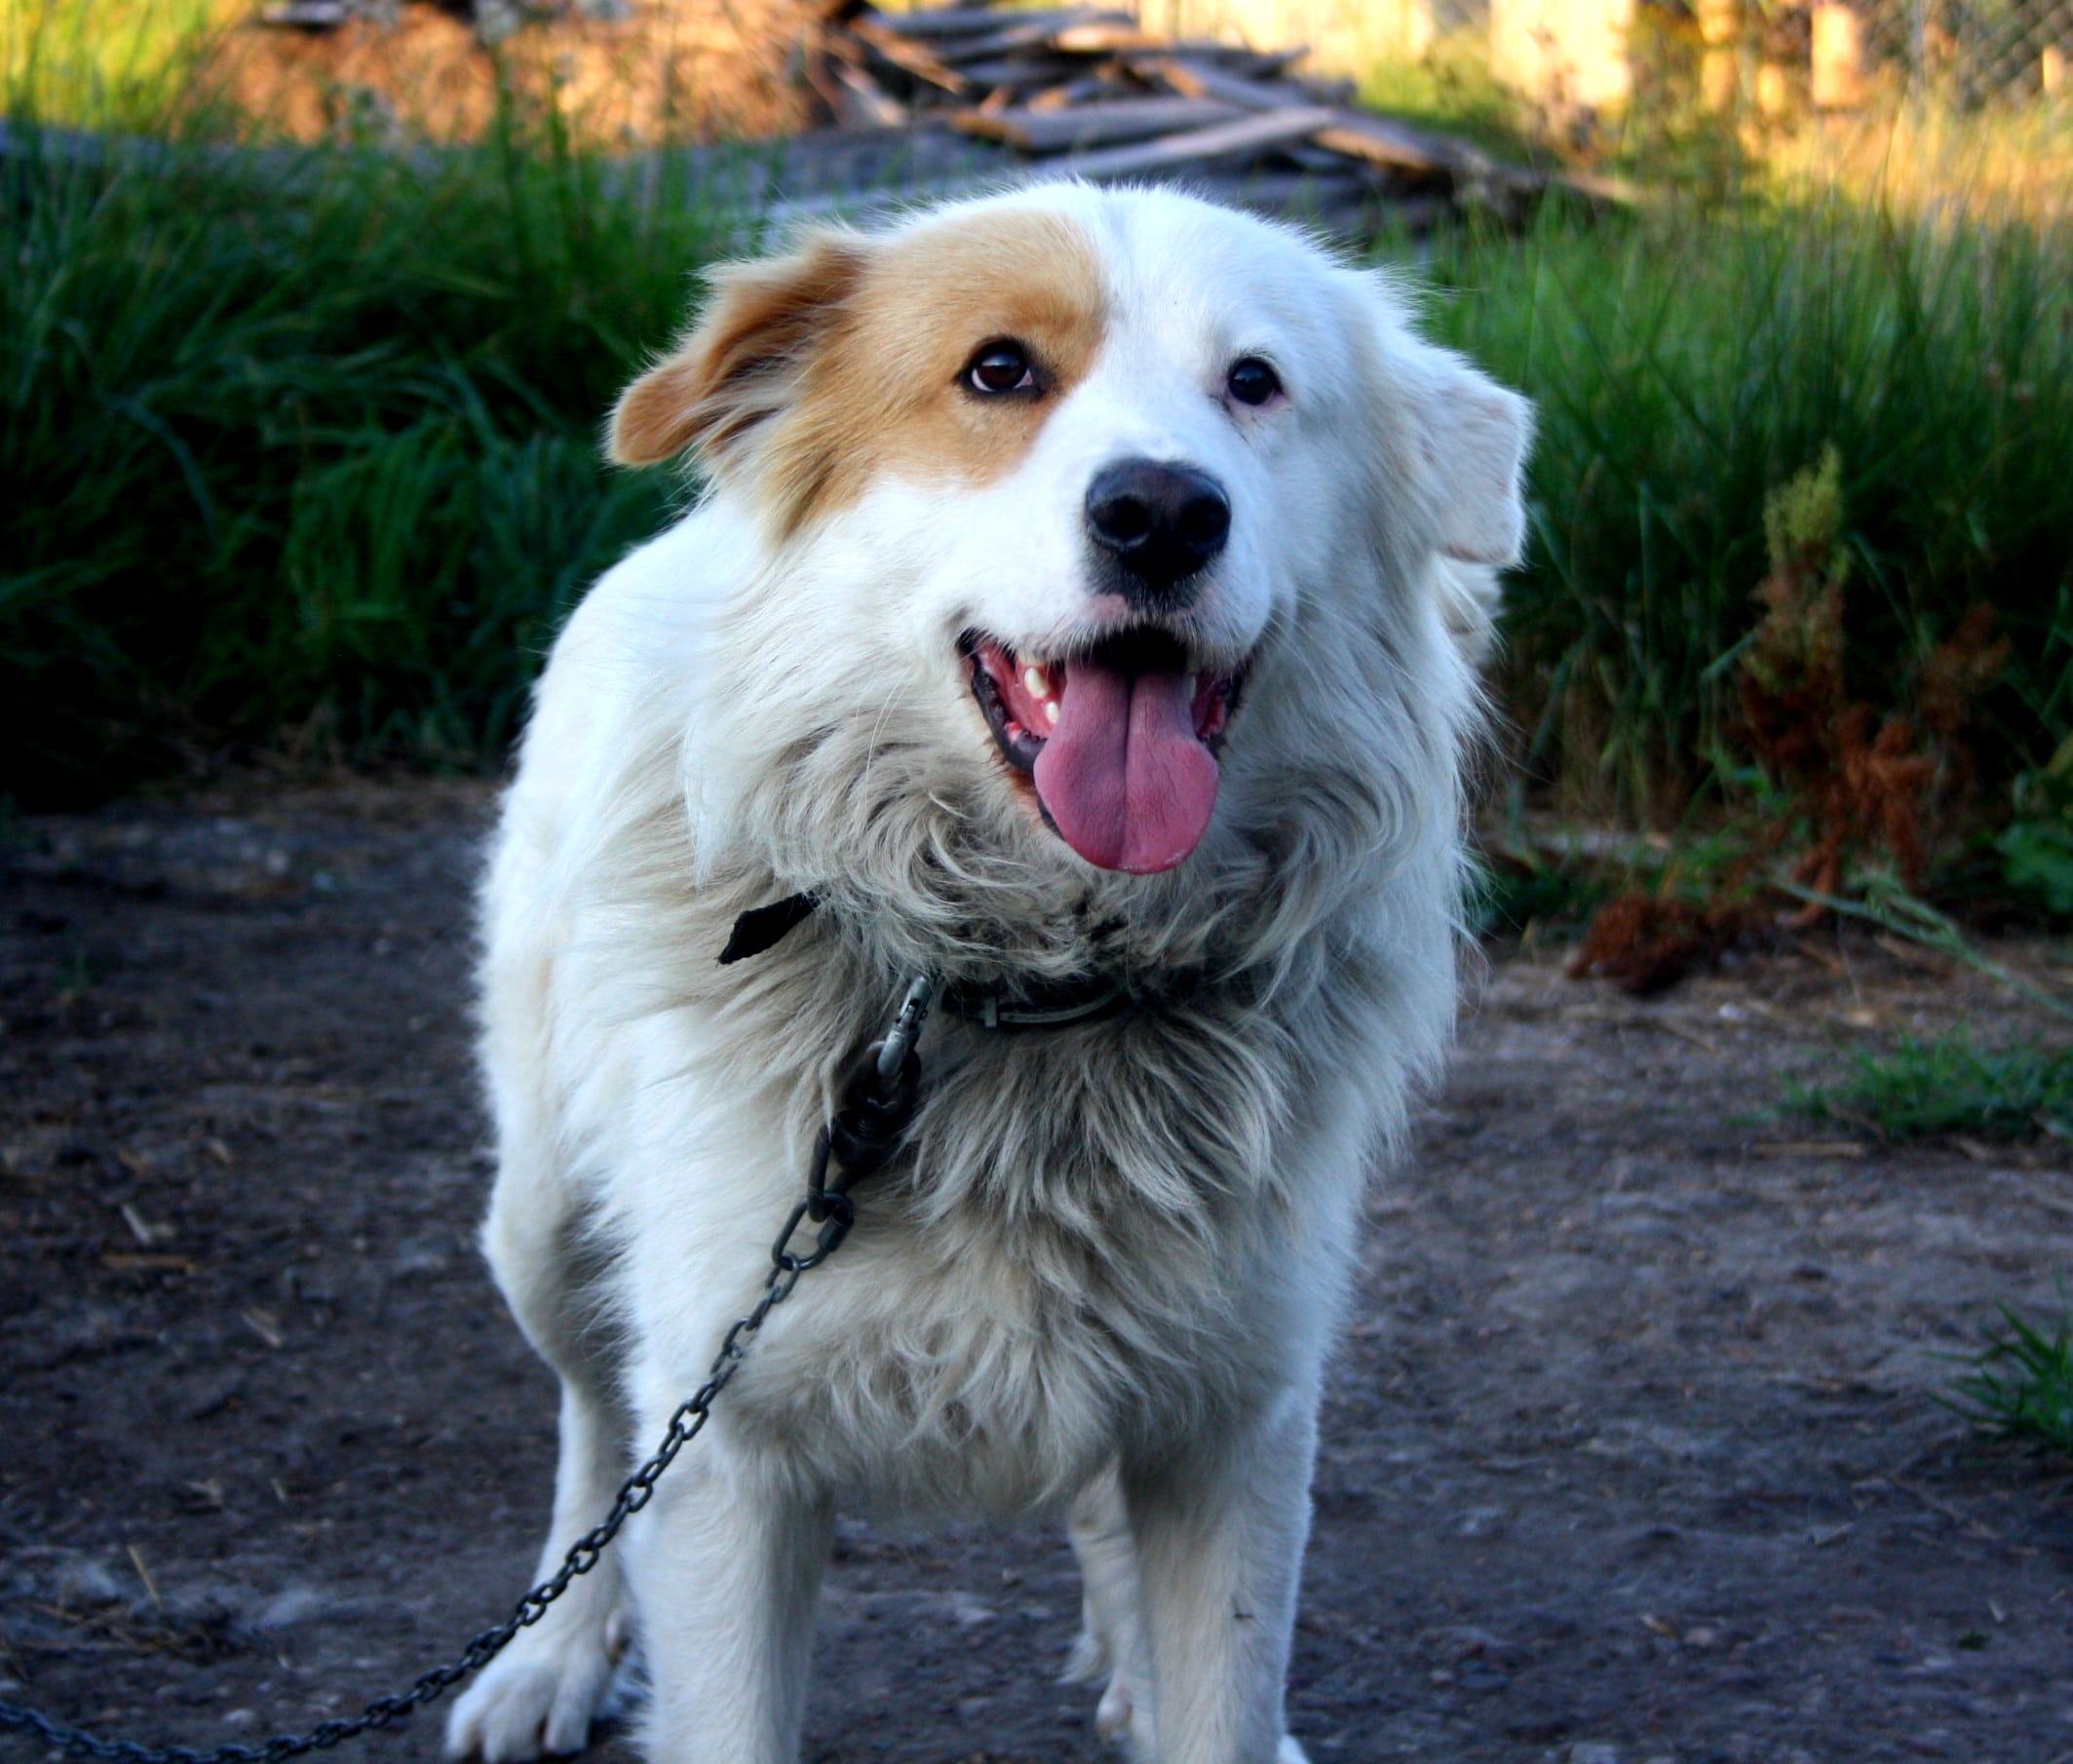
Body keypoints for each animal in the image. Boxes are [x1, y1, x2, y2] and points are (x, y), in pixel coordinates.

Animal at [445, 182, 1533, 1764]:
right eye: (999, 371)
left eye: (1253, 383)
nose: (1160, 513)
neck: (1034, 979)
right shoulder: (726, 1459)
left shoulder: (1239, 1419)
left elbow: (1218, 1687)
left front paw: (1181, 1687)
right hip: (536, 1217)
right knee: (591, 1421)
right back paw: (547, 1659)